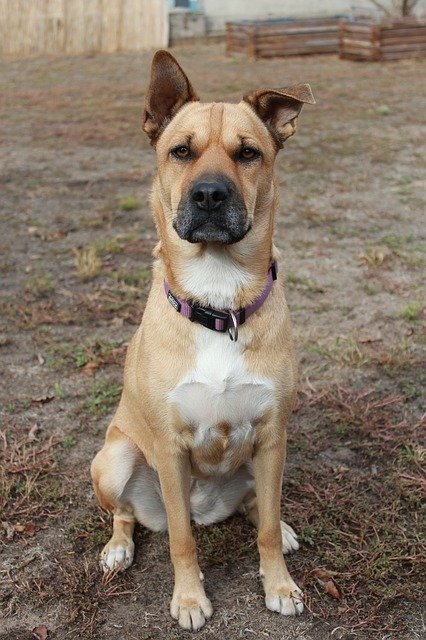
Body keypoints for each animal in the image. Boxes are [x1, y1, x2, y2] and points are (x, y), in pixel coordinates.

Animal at [91, 50, 314, 632]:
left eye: (249, 152)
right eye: (181, 151)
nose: (210, 195)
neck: (219, 302)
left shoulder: (272, 436)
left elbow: (264, 528)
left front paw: (279, 584)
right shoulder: (170, 450)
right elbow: (182, 541)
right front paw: (190, 599)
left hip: (263, 461)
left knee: (260, 508)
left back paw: (282, 529)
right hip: (115, 459)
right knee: (126, 514)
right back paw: (118, 548)